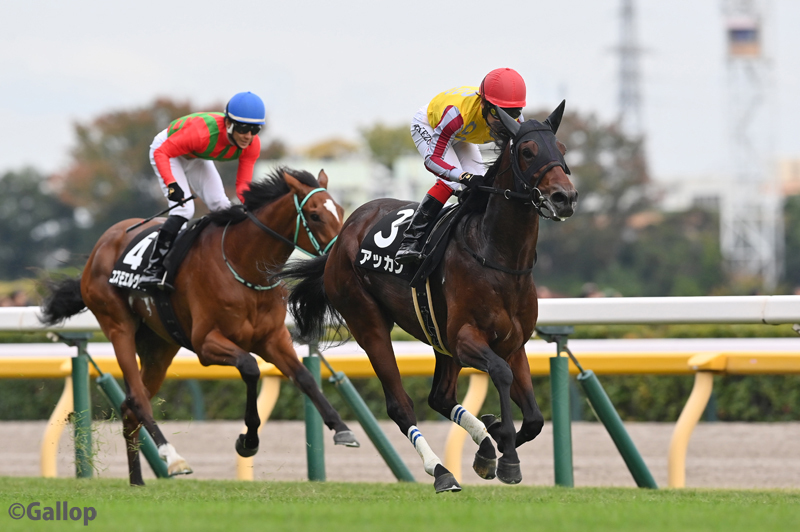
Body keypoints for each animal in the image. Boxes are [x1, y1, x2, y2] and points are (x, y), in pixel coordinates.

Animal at [40, 167, 360, 486]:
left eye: (340, 210)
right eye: (315, 215)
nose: (336, 256)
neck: (244, 265)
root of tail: (102, 244)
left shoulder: (273, 338)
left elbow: (305, 378)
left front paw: (342, 429)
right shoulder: (206, 343)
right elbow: (250, 368)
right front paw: (248, 441)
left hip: (159, 349)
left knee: (129, 407)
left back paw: (137, 480)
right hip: (118, 327)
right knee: (139, 399)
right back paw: (173, 457)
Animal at [278, 103, 578, 492]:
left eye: (562, 148)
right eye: (527, 151)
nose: (564, 197)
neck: (497, 257)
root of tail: (346, 231)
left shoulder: (514, 344)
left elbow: (535, 418)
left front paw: (493, 436)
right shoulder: (466, 338)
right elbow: (500, 374)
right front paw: (506, 454)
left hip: (438, 338)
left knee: (440, 396)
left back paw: (481, 445)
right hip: (369, 322)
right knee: (400, 404)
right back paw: (441, 471)